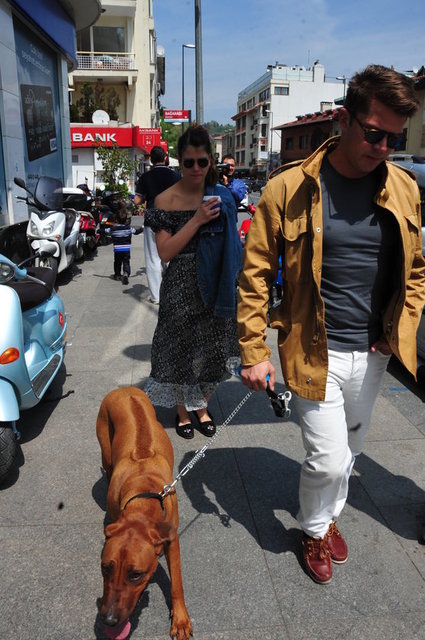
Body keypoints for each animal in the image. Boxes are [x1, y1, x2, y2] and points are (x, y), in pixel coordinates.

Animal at [96, 387, 193, 640]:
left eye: (135, 575)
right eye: (105, 567)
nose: (109, 620)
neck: (143, 497)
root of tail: (124, 388)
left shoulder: (172, 538)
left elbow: (177, 583)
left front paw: (180, 619)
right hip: (105, 445)